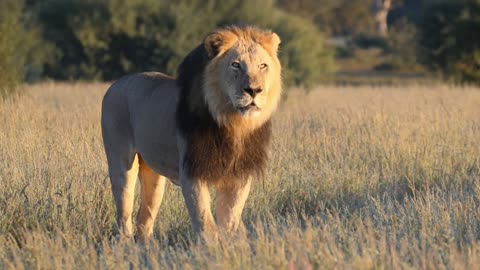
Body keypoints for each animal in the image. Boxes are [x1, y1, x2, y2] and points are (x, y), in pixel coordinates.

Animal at [101, 25, 282, 240]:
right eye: (235, 65)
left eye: (263, 66)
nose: (254, 90)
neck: (233, 123)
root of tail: (115, 84)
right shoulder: (192, 172)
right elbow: (205, 223)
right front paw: (211, 247)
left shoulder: (238, 176)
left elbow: (229, 220)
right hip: (121, 163)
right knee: (124, 214)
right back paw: (126, 244)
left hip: (154, 176)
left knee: (144, 218)